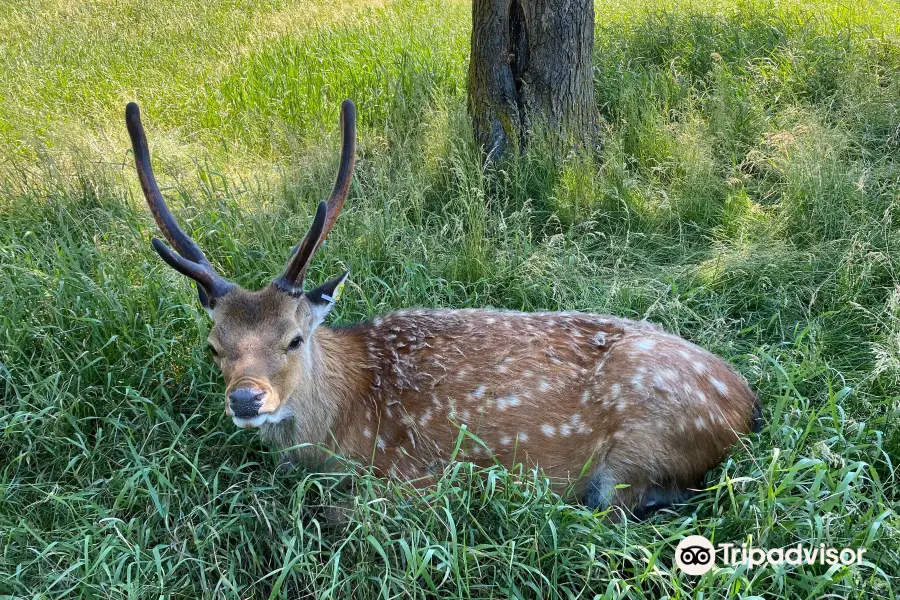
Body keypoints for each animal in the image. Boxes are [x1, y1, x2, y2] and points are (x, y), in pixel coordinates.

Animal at [126, 98, 760, 516]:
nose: (246, 399)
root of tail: (749, 408)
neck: (339, 426)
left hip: (642, 447)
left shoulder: (416, 479)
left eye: (294, 338)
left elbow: (346, 512)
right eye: (214, 346)